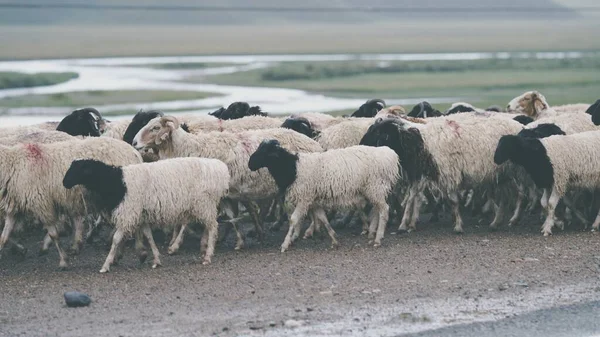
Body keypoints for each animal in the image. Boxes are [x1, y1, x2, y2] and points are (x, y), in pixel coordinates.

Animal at [0, 136, 141, 266]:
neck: (12, 165)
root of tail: (134, 152)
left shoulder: (41, 204)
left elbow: (53, 234)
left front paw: (63, 260)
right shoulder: (14, 208)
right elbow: (4, 236)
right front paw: (19, 249)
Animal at [62, 156, 229, 272]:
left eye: (79, 169)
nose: (64, 183)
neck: (116, 181)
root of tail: (220, 168)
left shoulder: (129, 212)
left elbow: (116, 239)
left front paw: (106, 265)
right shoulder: (142, 215)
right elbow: (149, 236)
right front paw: (156, 260)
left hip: (203, 204)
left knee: (213, 227)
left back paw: (208, 256)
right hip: (204, 206)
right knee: (209, 226)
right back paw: (204, 249)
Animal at [247, 140, 398, 251]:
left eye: (265, 152)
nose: (249, 164)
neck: (293, 168)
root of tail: (388, 154)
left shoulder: (304, 199)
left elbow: (293, 220)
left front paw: (285, 244)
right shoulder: (314, 201)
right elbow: (323, 219)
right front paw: (334, 240)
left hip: (375, 187)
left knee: (384, 210)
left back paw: (378, 239)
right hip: (375, 190)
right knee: (378, 210)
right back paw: (372, 233)